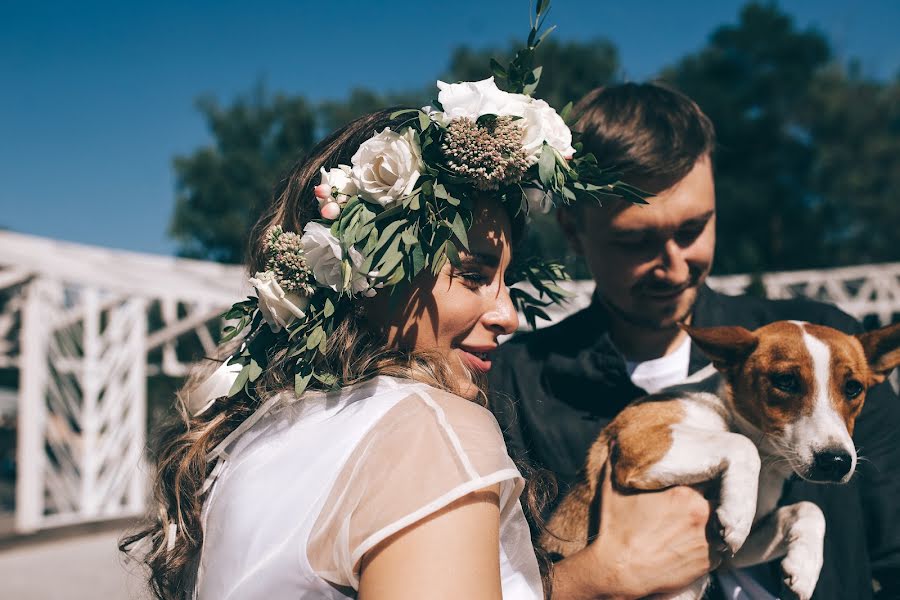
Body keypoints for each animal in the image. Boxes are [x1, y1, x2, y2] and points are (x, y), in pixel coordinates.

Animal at [540, 322, 900, 596]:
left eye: (853, 388)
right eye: (785, 381)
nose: (836, 461)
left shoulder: (727, 558)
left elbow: (809, 510)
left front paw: (804, 567)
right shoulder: (640, 440)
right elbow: (742, 445)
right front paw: (738, 513)